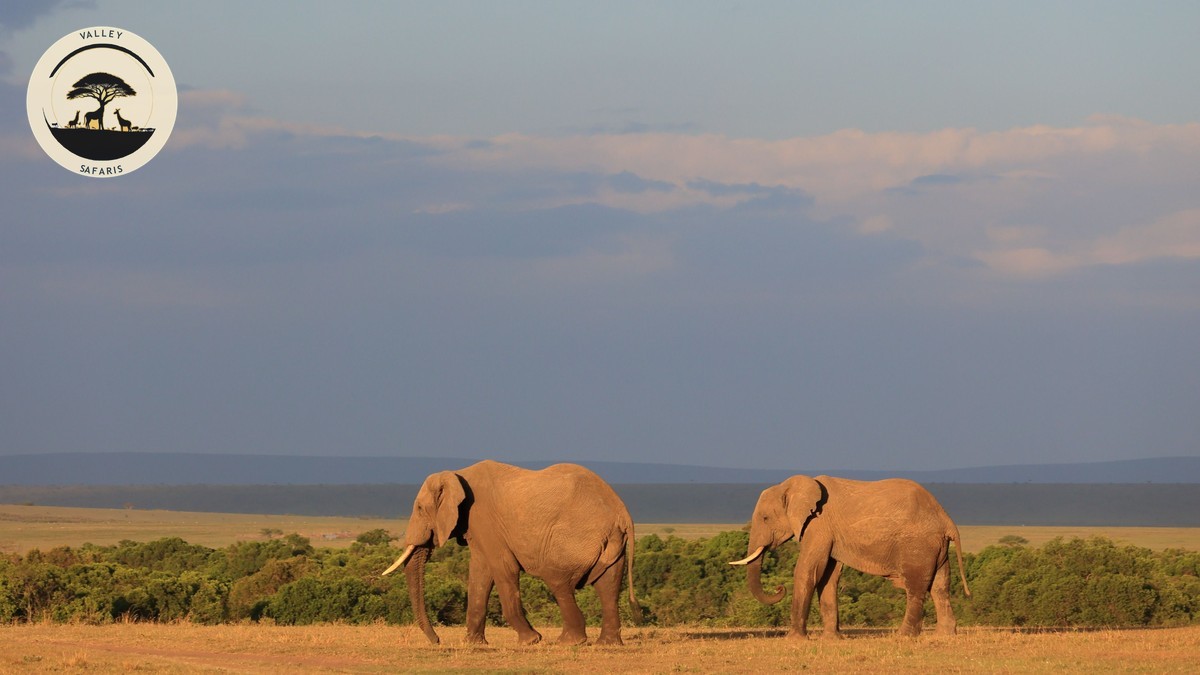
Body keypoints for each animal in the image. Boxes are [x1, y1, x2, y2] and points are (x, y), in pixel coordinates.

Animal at [382, 460, 642, 645]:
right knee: (608, 585)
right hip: (610, 543)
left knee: (557, 581)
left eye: (419, 508)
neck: (456, 473)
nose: (437, 641)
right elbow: (480, 573)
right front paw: (473, 645)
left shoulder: (483, 517)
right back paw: (606, 643)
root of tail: (622, 512)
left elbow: (502, 567)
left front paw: (530, 641)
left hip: (575, 537)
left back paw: (568, 642)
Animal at [729, 475, 970, 639]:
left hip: (918, 544)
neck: (794, 485)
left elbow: (808, 571)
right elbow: (828, 577)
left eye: (765, 518)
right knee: (940, 586)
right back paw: (944, 635)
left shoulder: (818, 525)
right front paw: (832, 640)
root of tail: (947, 519)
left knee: (916, 587)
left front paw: (795, 640)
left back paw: (903, 636)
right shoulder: (829, 533)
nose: (779, 588)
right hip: (936, 547)